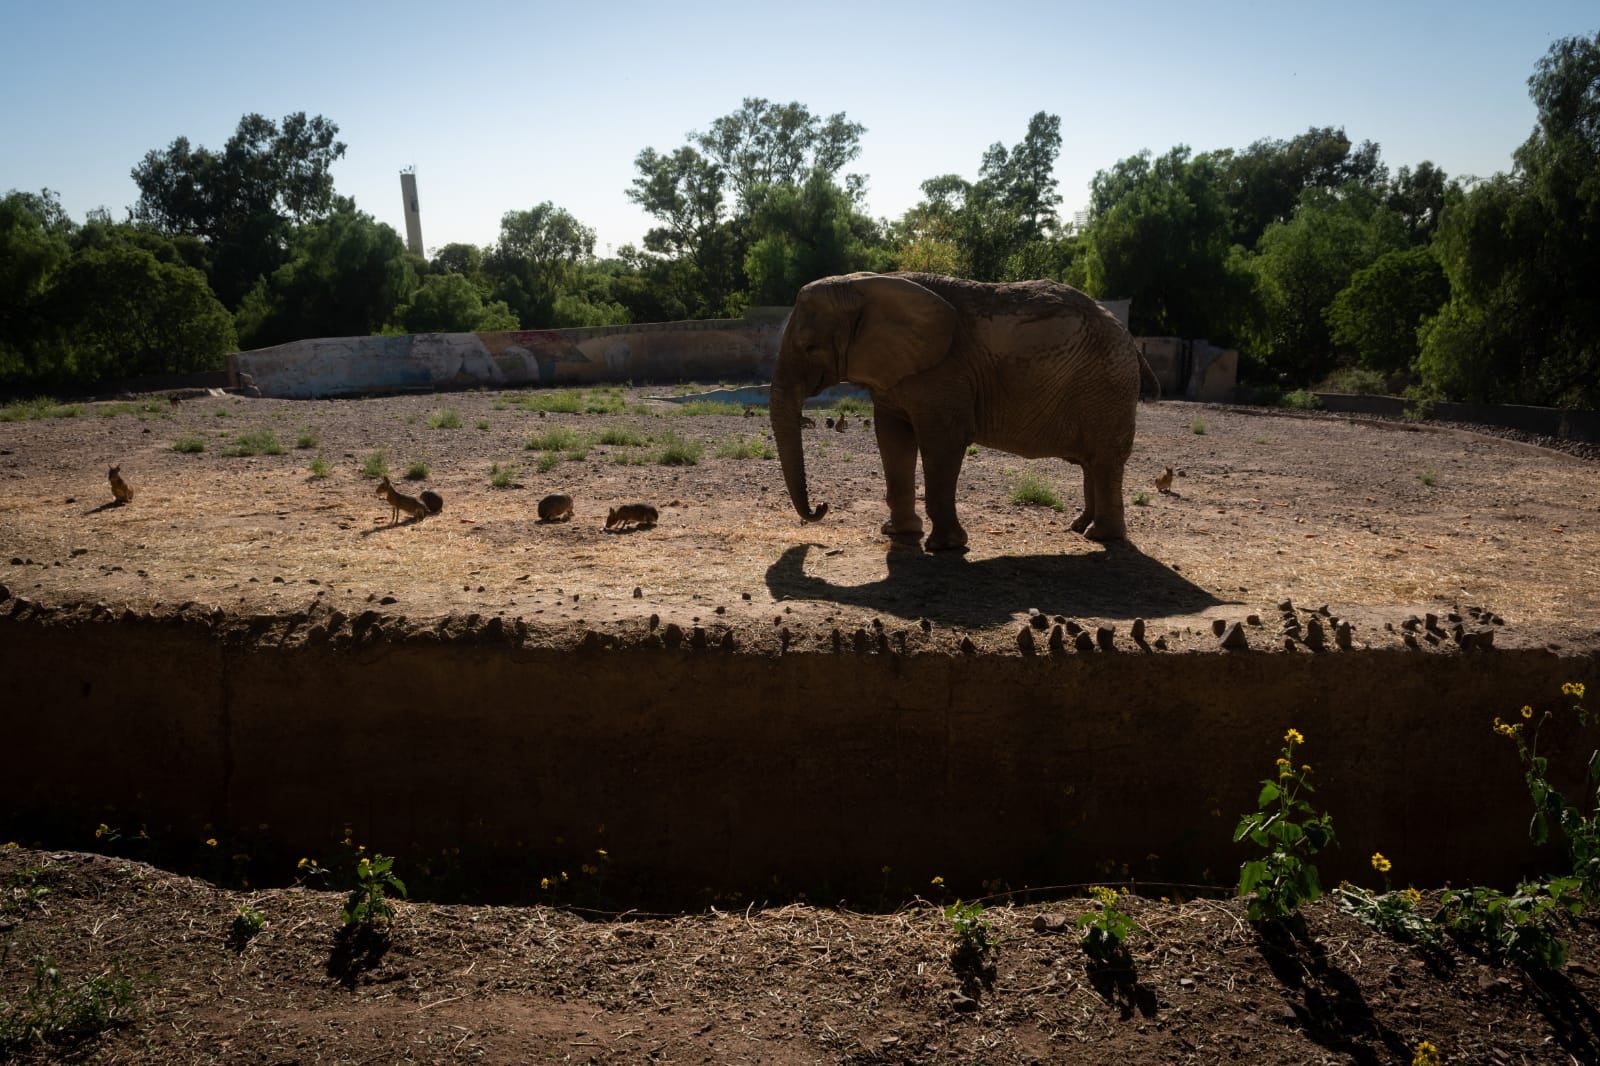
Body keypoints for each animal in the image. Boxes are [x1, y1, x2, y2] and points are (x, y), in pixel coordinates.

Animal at [771, 270, 1158, 550]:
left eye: (809, 347)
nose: (822, 507)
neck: (866, 285)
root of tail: (1130, 340)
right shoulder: (897, 373)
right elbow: (893, 439)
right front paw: (898, 533)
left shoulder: (945, 371)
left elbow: (943, 442)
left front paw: (944, 547)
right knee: (1093, 463)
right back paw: (1079, 527)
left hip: (1107, 384)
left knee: (1105, 461)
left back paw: (1100, 537)